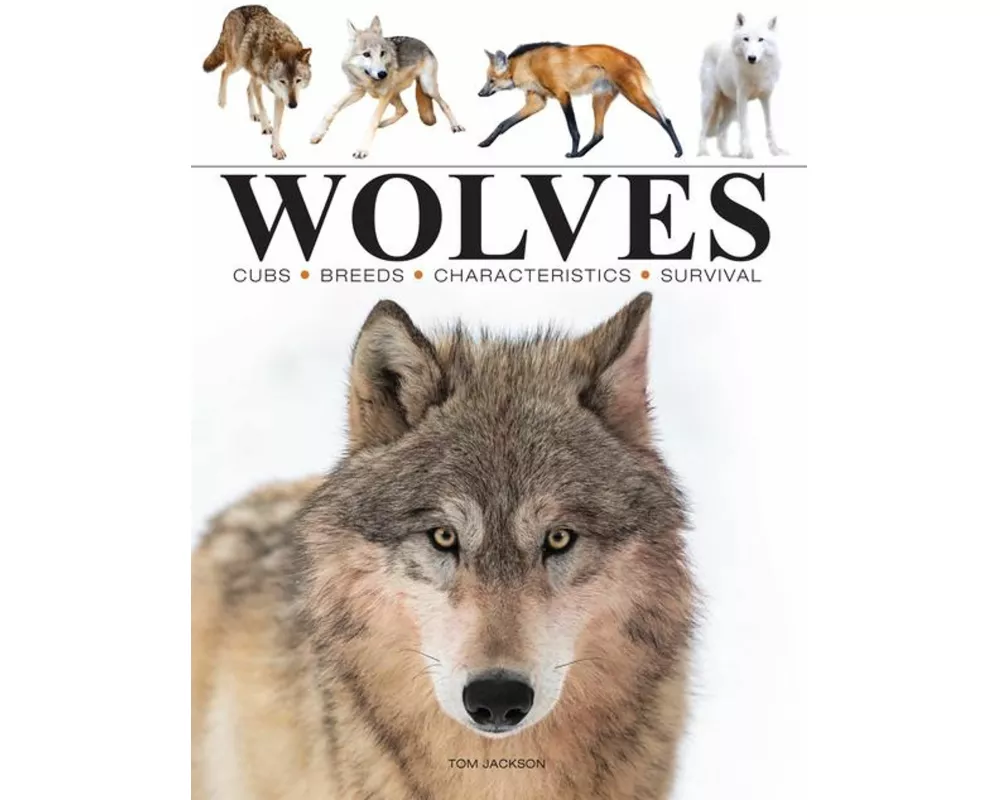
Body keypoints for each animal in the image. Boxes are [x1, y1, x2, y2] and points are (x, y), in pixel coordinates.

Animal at [203, 5, 312, 161]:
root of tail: (233, 10)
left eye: (298, 80)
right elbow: (263, 108)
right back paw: (222, 101)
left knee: (247, 89)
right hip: (238, 62)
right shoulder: (270, 87)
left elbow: (277, 125)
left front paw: (276, 148)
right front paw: (265, 127)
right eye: (283, 81)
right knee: (224, 72)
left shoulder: (279, 96)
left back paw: (253, 114)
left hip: (249, 71)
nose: (293, 105)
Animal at [309, 16, 464, 160]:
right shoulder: (358, 92)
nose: (383, 74)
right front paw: (317, 134)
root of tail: (425, 45)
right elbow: (332, 109)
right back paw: (383, 123)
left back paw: (456, 126)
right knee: (403, 109)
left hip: (427, 88)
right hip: (392, 94)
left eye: (382, 53)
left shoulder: (384, 95)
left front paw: (362, 149)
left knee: (444, 104)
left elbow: (372, 120)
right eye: (366, 54)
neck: (368, 81)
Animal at [477, 43, 683, 158]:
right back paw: (582, 155)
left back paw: (679, 152)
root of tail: (633, 58)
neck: (527, 66)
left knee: (665, 120)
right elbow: (503, 124)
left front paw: (573, 152)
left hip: (633, 95)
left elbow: (573, 129)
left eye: (491, 81)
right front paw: (485, 143)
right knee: (599, 134)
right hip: (599, 99)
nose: (480, 93)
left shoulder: (562, 94)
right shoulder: (536, 102)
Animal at [698, 13, 786, 158]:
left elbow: (769, 126)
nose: (751, 58)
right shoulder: (743, 98)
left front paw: (775, 151)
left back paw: (727, 154)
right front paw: (747, 152)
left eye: (761, 39)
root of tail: (709, 46)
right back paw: (702, 152)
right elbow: (745, 127)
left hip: (732, 107)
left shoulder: (766, 97)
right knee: (703, 129)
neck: (756, 72)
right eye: (746, 39)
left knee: (721, 129)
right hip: (710, 103)